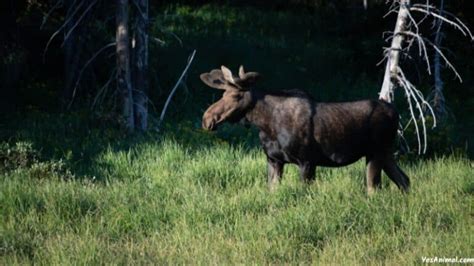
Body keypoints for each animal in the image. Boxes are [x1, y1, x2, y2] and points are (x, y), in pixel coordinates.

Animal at [198, 64, 410, 193]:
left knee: (374, 188)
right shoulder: (274, 160)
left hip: (375, 152)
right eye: (222, 94)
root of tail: (396, 113)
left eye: (235, 96)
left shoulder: (307, 161)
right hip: (385, 152)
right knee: (404, 180)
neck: (267, 125)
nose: (206, 119)